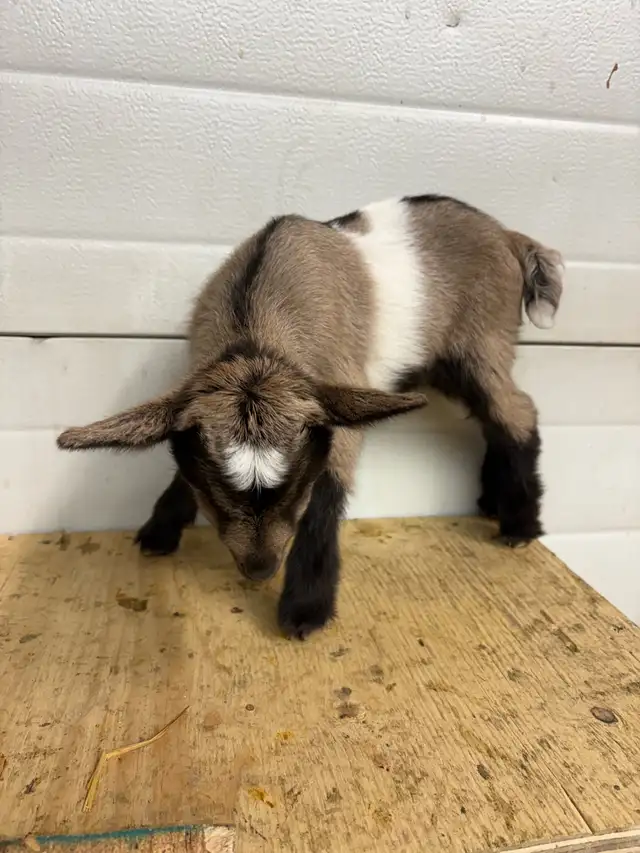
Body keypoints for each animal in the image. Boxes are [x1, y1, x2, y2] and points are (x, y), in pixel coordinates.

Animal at [57, 194, 563, 639]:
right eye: (215, 495)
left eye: (295, 488)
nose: (260, 569)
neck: (255, 324)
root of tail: (508, 237)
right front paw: (159, 531)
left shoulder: (337, 397)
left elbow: (327, 495)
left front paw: (305, 611)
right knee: (495, 418)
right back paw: (494, 503)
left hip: (482, 339)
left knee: (516, 410)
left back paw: (520, 525)